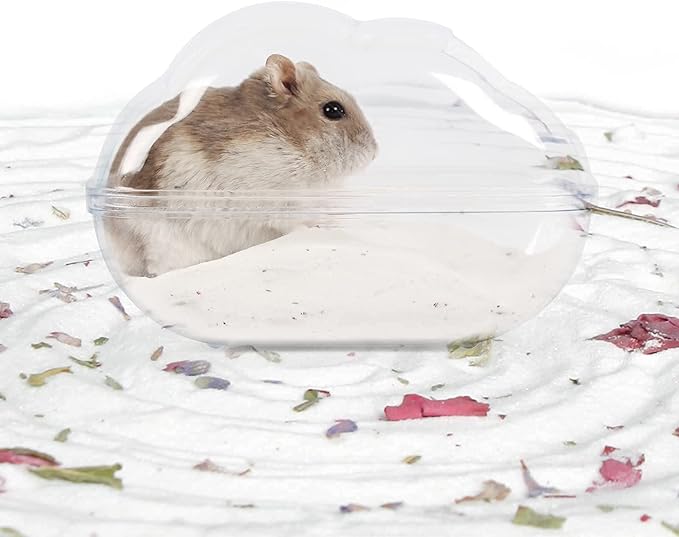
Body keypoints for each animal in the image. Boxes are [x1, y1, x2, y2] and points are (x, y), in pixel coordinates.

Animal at [105, 54, 377, 277]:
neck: (294, 145)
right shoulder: (272, 199)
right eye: (333, 110)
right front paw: (323, 225)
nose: (374, 152)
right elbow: (294, 220)